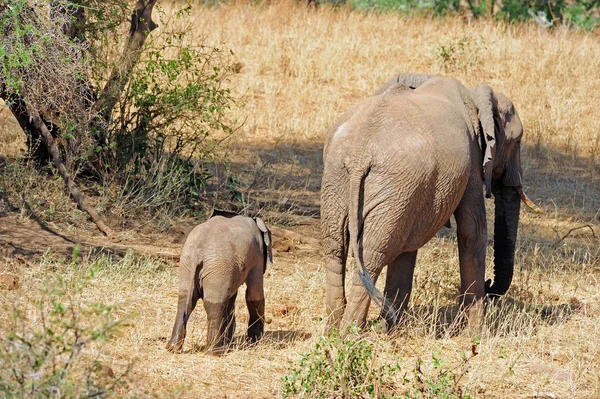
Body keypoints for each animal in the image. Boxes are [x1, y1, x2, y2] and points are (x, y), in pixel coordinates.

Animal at [166, 211, 274, 354]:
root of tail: (198, 253)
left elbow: (231, 298)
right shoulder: (257, 257)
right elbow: (254, 295)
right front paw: (254, 343)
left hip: (187, 264)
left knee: (184, 301)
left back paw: (173, 348)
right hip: (217, 267)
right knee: (214, 306)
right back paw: (215, 351)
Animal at [322, 74, 540, 332]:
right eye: (517, 142)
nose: (489, 286)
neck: (474, 95)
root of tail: (360, 152)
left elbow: (407, 247)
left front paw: (390, 328)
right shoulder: (472, 161)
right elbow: (472, 232)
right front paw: (474, 332)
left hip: (342, 179)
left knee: (336, 247)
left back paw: (334, 328)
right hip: (390, 183)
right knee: (373, 253)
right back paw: (350, 333)